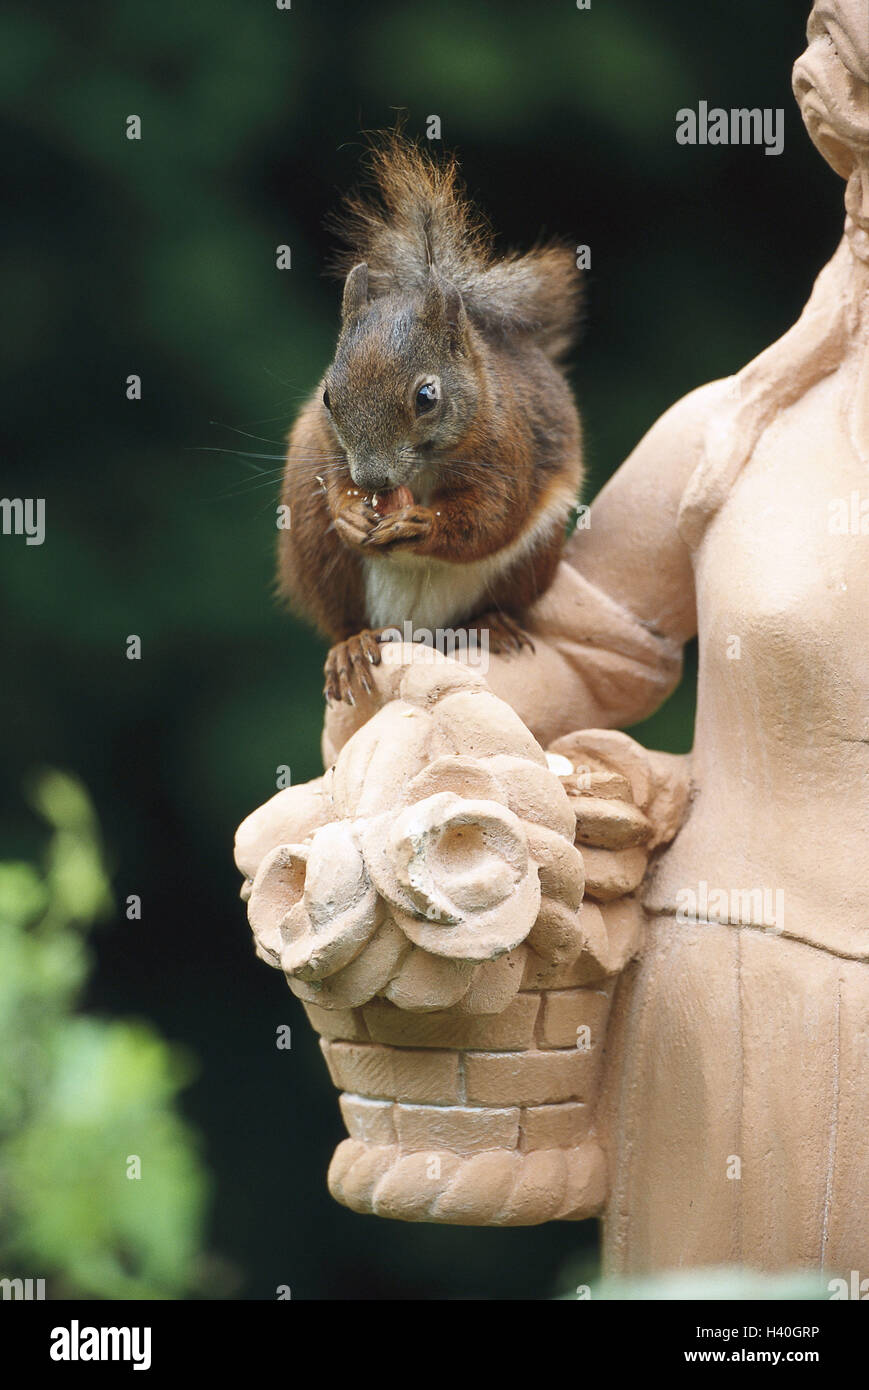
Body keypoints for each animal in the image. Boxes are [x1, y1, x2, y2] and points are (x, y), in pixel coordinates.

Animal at [277, 132, 584, 704]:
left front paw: (421, 523)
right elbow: (333, 480)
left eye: (426, 396)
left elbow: (488, 516)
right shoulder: (324, 447)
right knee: (342, 617)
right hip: (313, 548)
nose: (372, 480)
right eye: (327, 397)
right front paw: (349, 509)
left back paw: (491, 625)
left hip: (533, 559)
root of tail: (414, 628)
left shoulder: (508, 452)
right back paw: (351, 646)